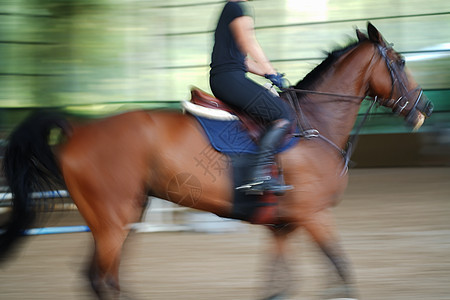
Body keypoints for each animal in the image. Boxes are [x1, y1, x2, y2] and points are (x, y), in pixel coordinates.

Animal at [0, 23, 432, 300]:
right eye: (400, 61)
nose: (426, 107)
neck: (316, 125)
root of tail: (78, 129)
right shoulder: (315, 216)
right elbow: (342, 272)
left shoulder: (284, 226)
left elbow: (279, 287)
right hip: (112, 220)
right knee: (99, 278)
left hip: (120, 217)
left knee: (103, 278)